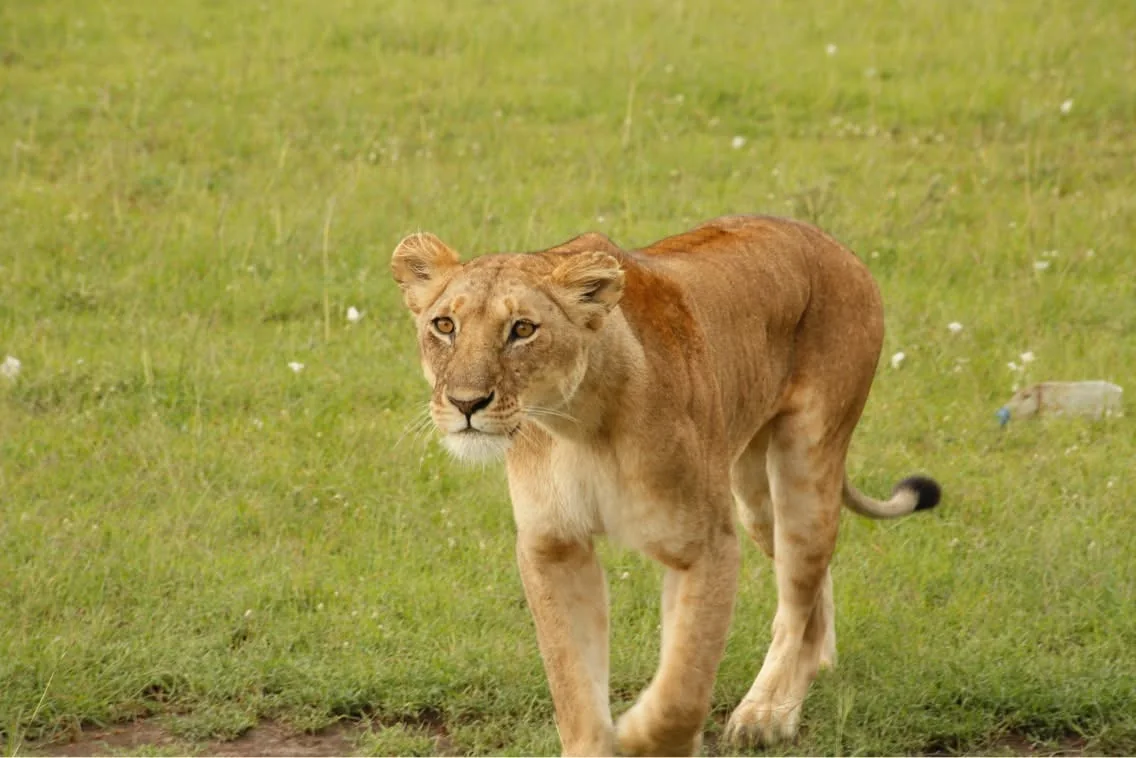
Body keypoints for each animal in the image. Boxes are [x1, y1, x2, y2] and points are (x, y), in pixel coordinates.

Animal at [391, 215, 940, 756]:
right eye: (445, 325)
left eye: (522, 329)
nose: (466, 403)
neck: (579, 424)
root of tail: (833, 244)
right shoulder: (553, 547)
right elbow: (573, 684)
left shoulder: (704, 546)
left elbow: (683, 685)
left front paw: (641, 736)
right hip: (754, 493)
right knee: (809, 589)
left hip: (804, 464)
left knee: (796, 595)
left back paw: (767, 713)